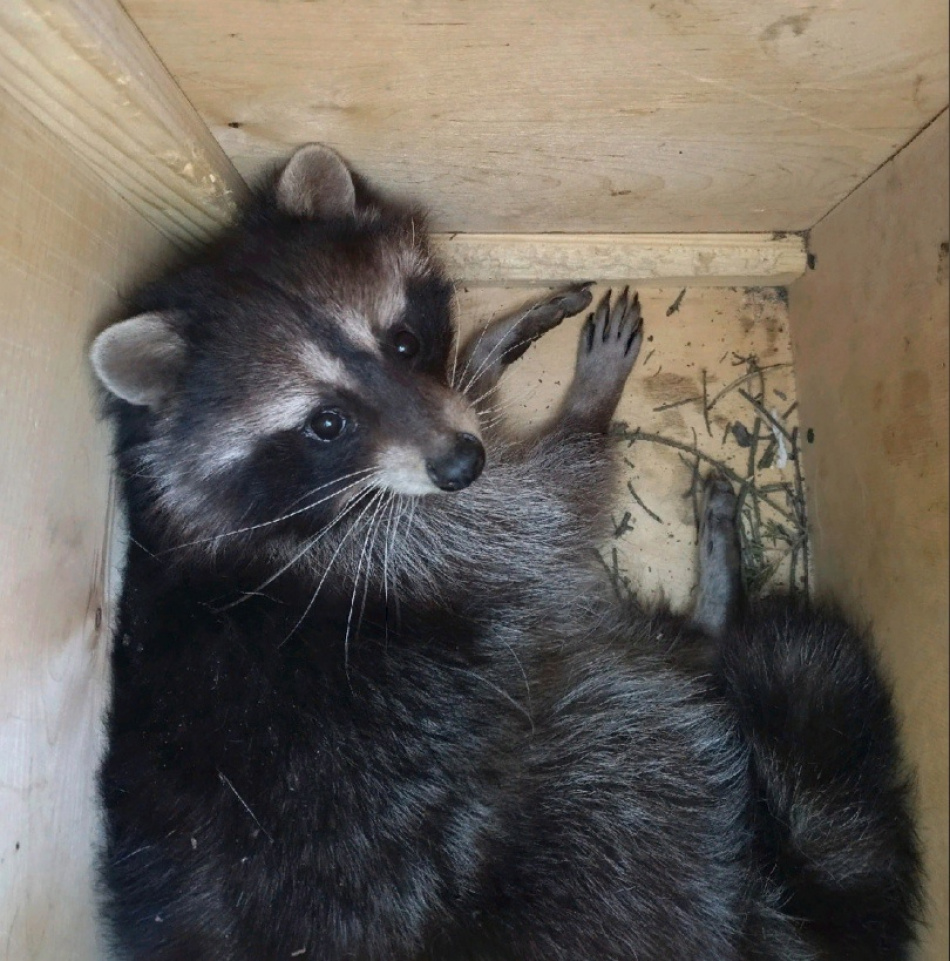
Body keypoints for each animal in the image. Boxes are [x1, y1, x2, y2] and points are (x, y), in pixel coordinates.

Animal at [91, 144, 924, 960]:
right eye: (326, 423)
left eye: (402, 341)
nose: (463, 463)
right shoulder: (384, 550)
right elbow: (544, 514)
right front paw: (588, 403)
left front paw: (487, 352)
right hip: (598, 805)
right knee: (622, 704)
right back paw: (710, 620)